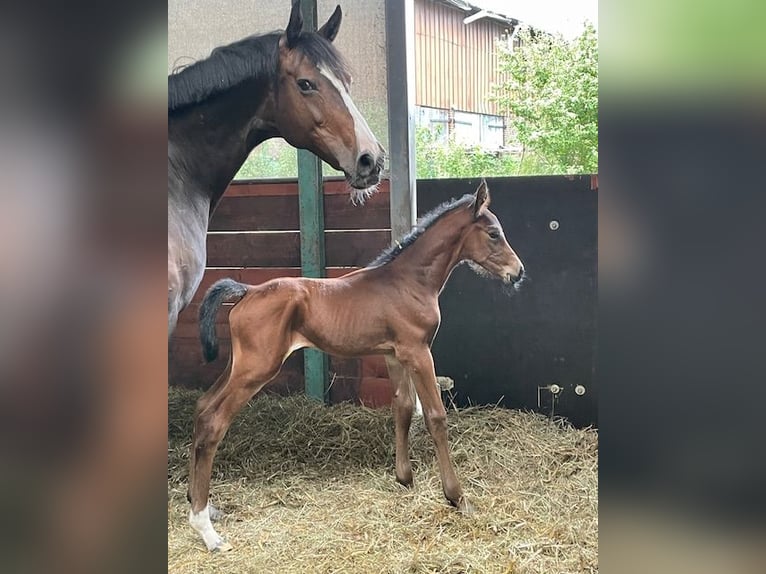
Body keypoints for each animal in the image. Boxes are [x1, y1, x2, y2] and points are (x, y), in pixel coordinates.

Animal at [188, 180, 526, 551]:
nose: (518, 272)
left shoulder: (395, 354)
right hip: (256, 369)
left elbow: (403, 408)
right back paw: (207, 530)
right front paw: (458, 497)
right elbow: (435, 416)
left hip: (239, 365)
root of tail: (247, 291)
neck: (409, 281)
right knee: (214, 422)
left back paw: (201, 504)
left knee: (202, 407)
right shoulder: (419, 351)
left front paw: (404, 478)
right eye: (493, 233)